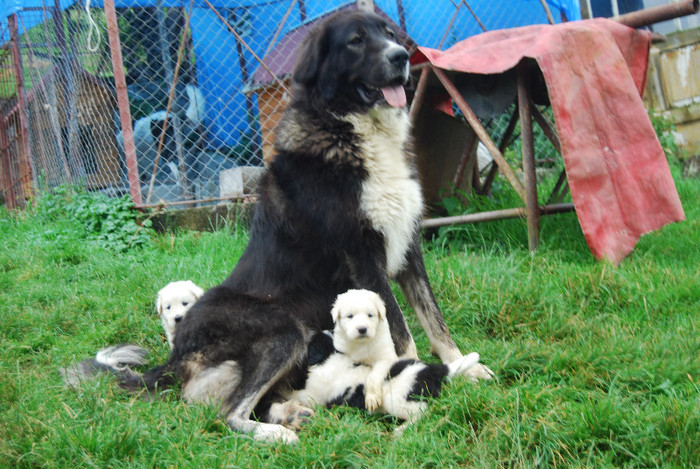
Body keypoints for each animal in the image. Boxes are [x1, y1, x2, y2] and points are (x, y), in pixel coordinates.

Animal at [89, 10, 492, 442]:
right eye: (355, 41)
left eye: (390, 34)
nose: (401, 57)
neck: (350, 128)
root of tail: (174, 354)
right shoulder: (364, 256)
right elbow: (401, 333)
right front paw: (405, 377)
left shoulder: (408, 246)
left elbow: (435, 320)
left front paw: (466, 368)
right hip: (285, 330)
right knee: (230, 412)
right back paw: (276, 433)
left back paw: (291, 413)